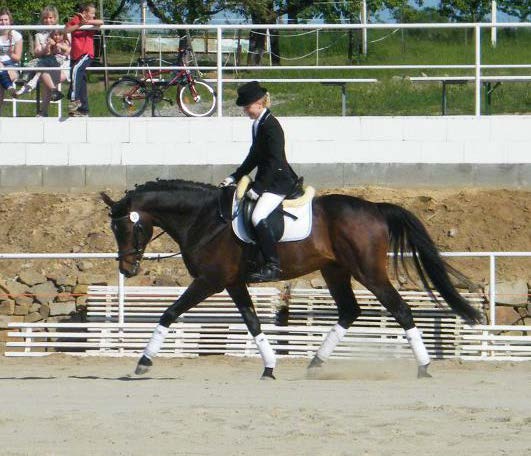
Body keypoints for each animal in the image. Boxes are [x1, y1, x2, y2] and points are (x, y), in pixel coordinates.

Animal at [102, 180, 484, 380]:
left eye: (128, 228)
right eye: (114, 230)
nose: (127, 270)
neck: (206, 219)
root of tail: (375, 207)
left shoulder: (210, 281)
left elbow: (169, 313)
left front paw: (143, 362)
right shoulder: (234, 283)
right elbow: (253, 323)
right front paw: (270, 367)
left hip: (370, 272)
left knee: (402, 311)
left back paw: (424, 367)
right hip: (335, 271)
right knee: (349, 311)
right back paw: (315, 364)